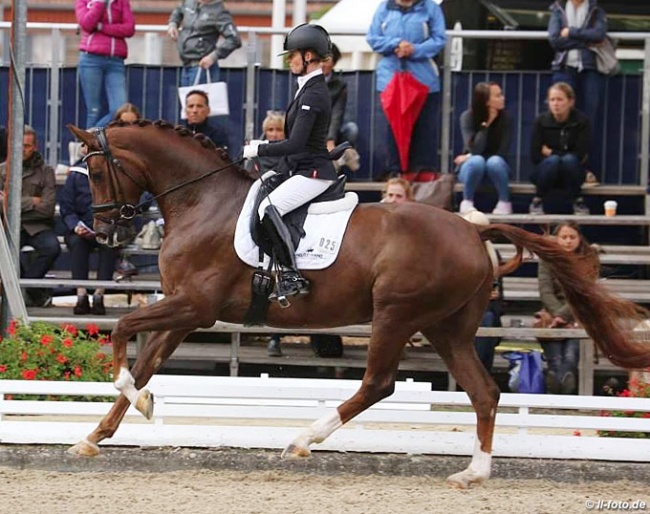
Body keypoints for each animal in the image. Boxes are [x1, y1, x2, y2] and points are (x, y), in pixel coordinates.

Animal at [68, 119, 648, 484]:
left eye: (95, 172)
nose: (103, 232)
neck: (201, 200)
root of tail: (472, 228)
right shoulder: (183, 309)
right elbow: (146, 360)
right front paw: (96, 435)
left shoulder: (195, 306)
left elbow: (123, 332)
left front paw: (139, 403)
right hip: (446, 327)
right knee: (483, 392)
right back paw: (474, 472)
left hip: (396, 313)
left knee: (378, 383)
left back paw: (303, 440)